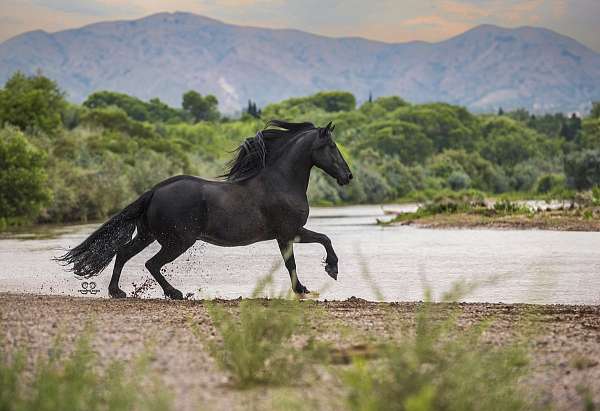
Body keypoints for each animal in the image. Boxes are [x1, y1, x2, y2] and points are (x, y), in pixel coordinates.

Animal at [56, 120, 352, 300]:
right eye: (332, 146)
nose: (347, 176)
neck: (280, 181)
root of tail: (154, 191)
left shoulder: (289, 233)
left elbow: (316, 245)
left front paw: (319, 276)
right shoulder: (288, 232)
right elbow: (306, 253)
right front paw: (318, 278)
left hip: (148, 235)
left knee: (123, 253)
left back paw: (117, 291)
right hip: (177, 241)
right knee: (151, 263)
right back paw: (175, 293)